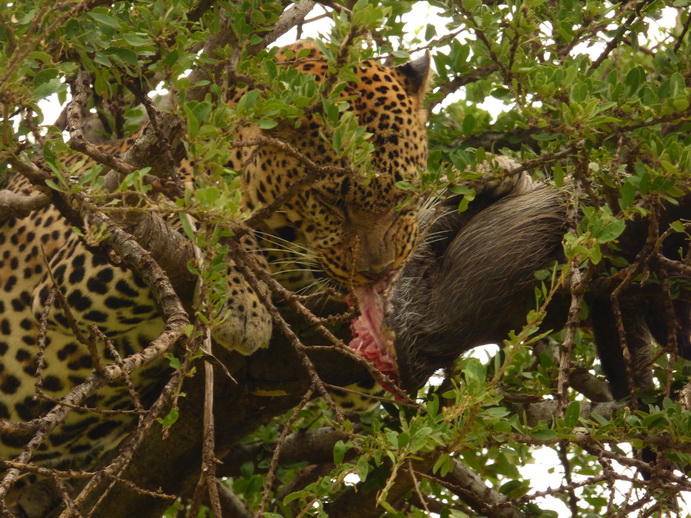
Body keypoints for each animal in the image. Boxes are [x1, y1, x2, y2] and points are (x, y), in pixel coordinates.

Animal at [0, 38, 430, 499]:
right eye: (332, 200)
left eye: (404, 195)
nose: (378, 271)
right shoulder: (86, 253)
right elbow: (209, 218)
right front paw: (244, 306)